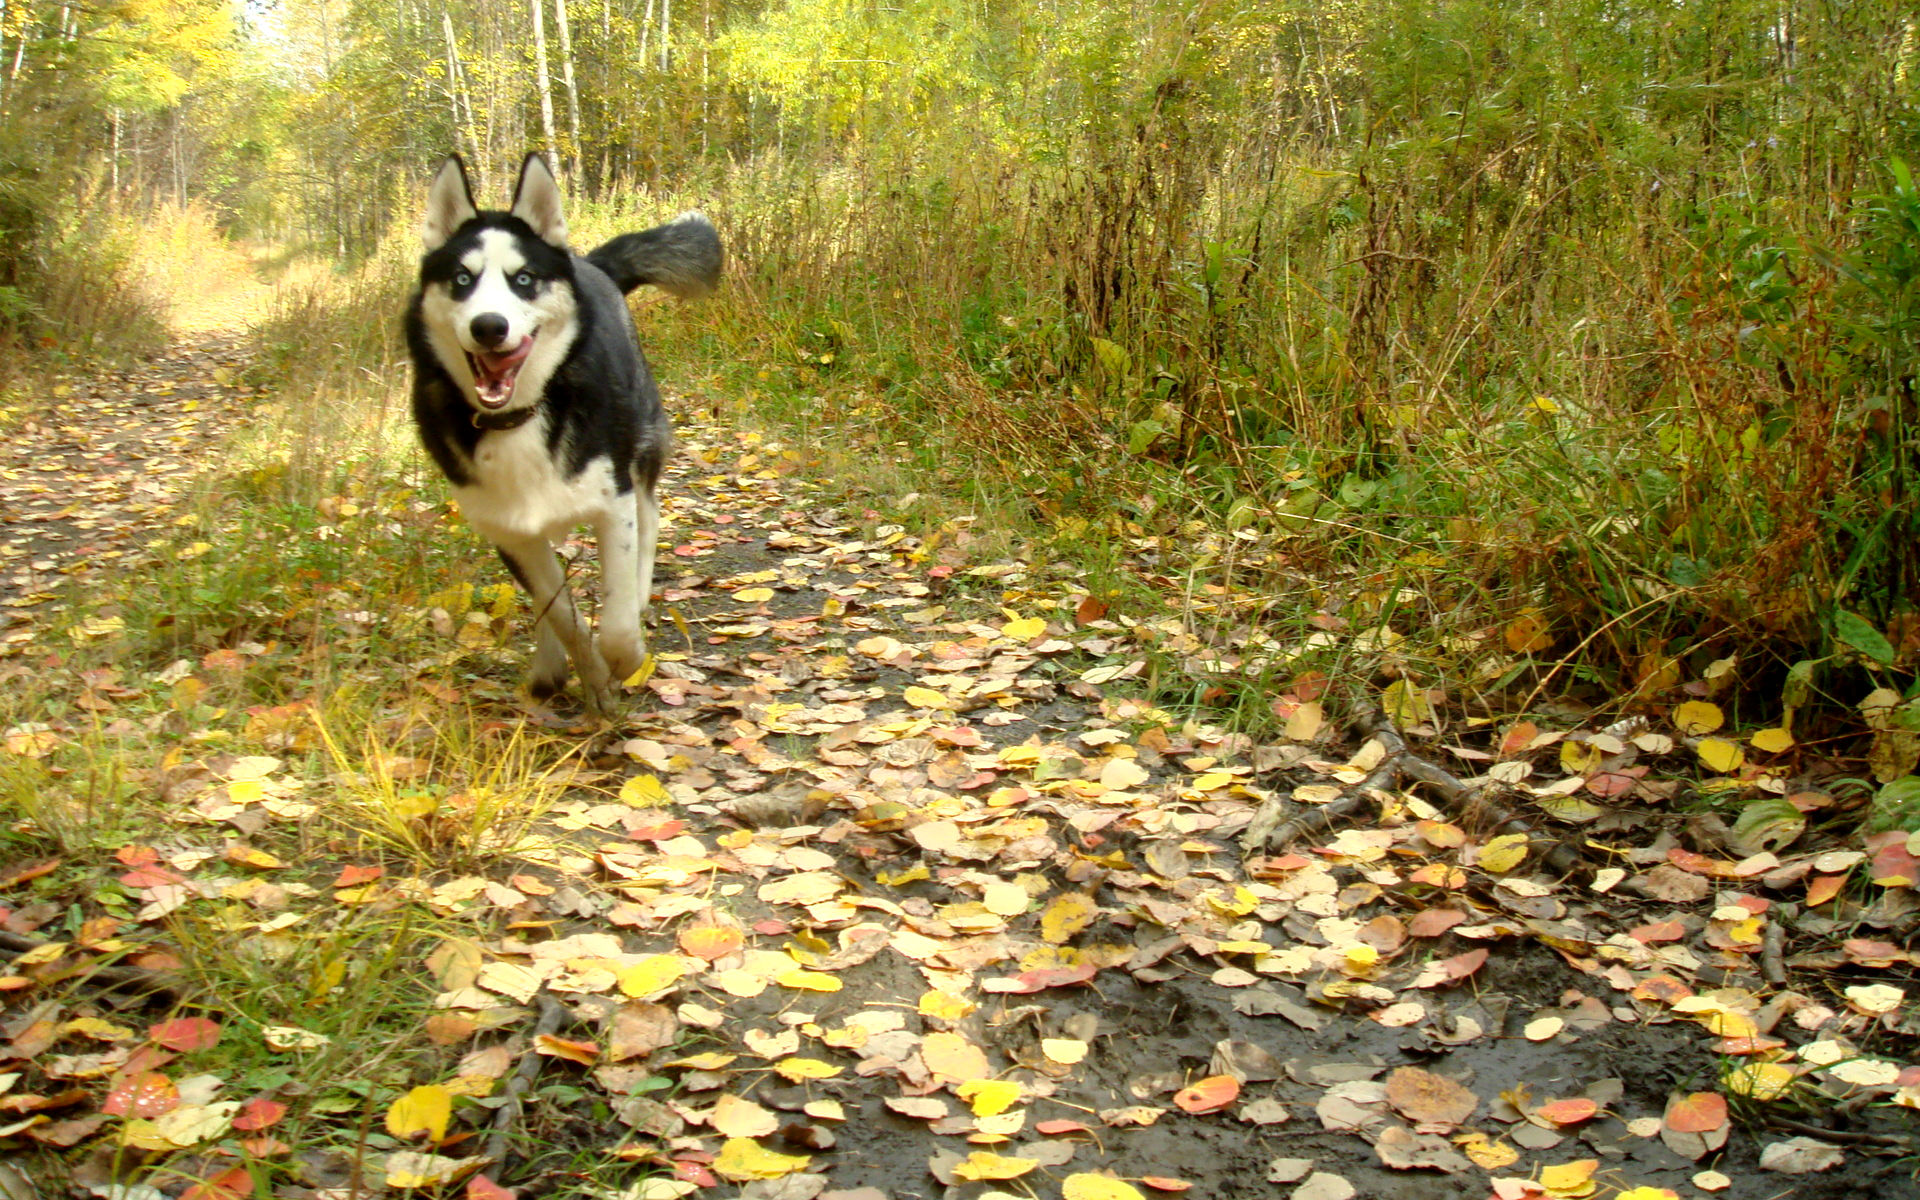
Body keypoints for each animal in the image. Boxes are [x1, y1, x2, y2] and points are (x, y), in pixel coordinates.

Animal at [407, 153, 721, 706]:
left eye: (524, 279)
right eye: (461, 279)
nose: (489, 326)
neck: (520, 416)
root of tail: (590, 263)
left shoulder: (612, 502)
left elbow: (615, 624)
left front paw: (623, 664)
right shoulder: (509, 530)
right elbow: (562, 613)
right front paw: (590, 678)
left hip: (640, 446)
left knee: (649, 518)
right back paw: (548, 664)